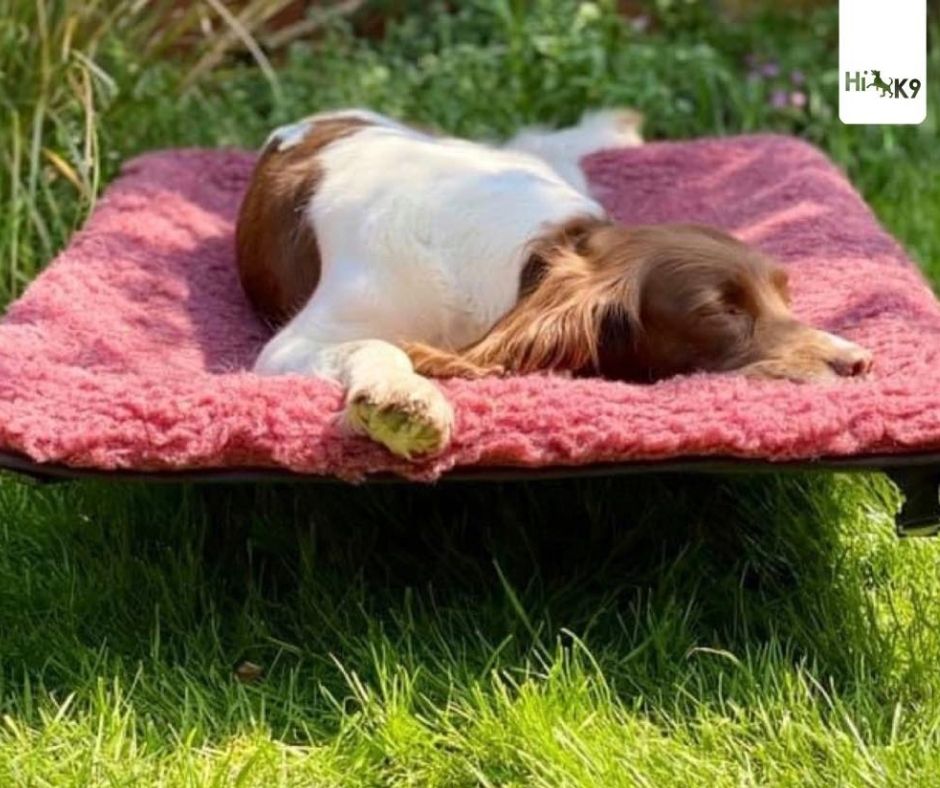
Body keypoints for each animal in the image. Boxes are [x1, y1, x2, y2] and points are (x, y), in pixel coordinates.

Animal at [237, 107, 872, 458]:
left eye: (787, 295)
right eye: (721, 312)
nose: (860, 363)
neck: (530, 262)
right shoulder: (293, 344)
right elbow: (378, 344)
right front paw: (403, 401)